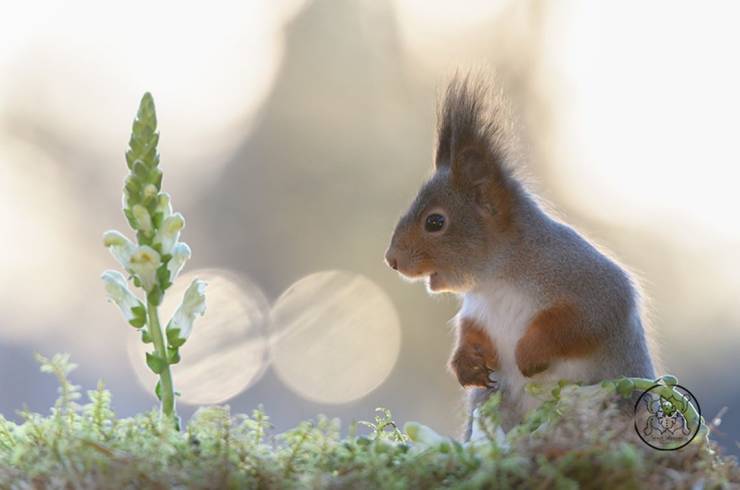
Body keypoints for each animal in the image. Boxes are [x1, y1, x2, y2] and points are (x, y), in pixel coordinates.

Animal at [384, 75, 656, 436]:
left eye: (435, 222)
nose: (391, 259)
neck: (496, 281)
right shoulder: (477, 312)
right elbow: (469, 334)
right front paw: (466, 365)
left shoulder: (589, 283)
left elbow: (579, 321)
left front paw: (528, 354)